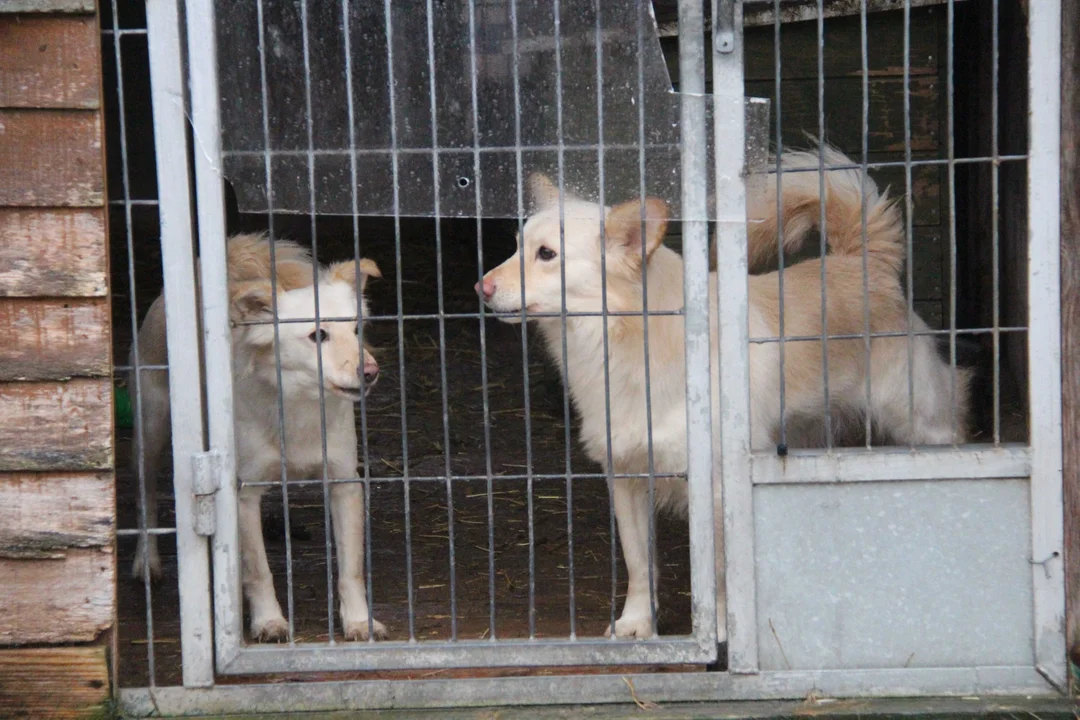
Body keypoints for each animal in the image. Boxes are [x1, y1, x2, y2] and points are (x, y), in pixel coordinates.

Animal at [129, 235, 388, 643]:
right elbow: (259, 570)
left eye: (356, 331)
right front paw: (268, 621)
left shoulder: (345, 482)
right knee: (147, 496)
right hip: (151, 431)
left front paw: (360, 621)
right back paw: (147, 561)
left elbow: (351, 569)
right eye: (318, 335)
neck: (298, 405)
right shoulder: (242, 494)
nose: (371, 372)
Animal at [477, 147, 967, 643]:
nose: (482, 288)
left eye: (547, 254)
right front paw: (638, 623)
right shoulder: (627, 478)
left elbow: (720, 571)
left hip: (918, 420)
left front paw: (723, 629)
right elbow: (639, 564)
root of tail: (862, 262)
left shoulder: (717, 490)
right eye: (517, 246)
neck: (624, 339)